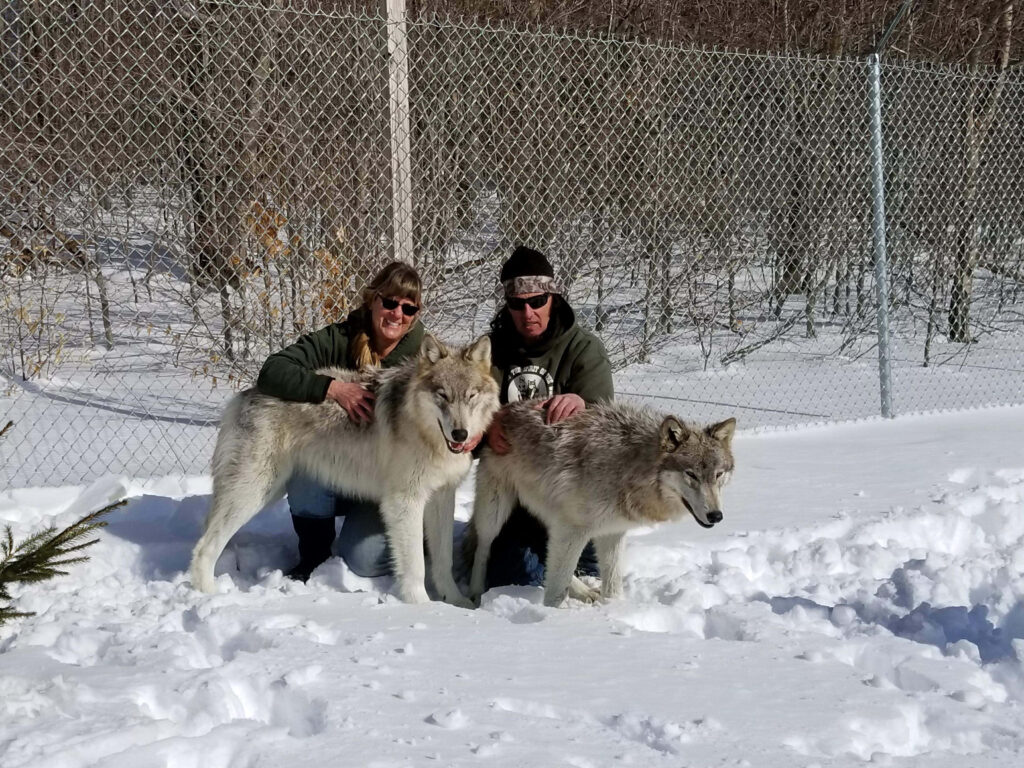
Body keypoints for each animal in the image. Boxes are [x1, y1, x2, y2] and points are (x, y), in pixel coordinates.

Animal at [190, 335, 500, 608]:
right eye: (442, 395)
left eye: (471, 396)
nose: (460, 434)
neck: (424, 432)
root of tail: (245, 394)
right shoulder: (405, 501)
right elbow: (415, 565)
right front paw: (424, 608)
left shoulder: (441, 497)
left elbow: (443, 559)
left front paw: (455, 602)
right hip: (254, 492)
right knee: (204, 545)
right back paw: (210, 596)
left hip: (267, 490)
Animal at [466, 401, 736, 607]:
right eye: (691, 475)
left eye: (718, 475)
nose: (716, 516)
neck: (628, 468)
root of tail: (505, 409)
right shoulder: (573, 529)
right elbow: (556, 590)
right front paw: (551, 618)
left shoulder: (611, 531)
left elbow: (613, 584)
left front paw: (613, 611)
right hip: (495, 512)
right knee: (483, 547)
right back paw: (474, 595)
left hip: (551, 516)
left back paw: (585, 592)